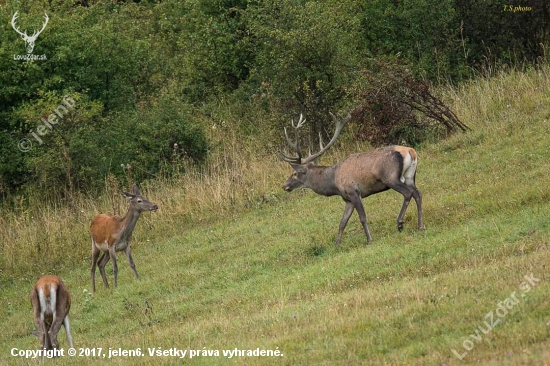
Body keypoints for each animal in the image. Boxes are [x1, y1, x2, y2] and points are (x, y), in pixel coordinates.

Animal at [282, 113, 424, 247]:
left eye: (294, 173)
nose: (284, 185)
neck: (334, 182)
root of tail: (411, 151)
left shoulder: (353, 191)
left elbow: (362, 217)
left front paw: (369, 239)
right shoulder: (347, 199)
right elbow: (342, 222)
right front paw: (337, 244)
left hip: (391, 177)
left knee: (408, 193)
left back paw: (400, 223)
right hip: (410, 176)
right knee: (417, 193)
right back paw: (420, 225)